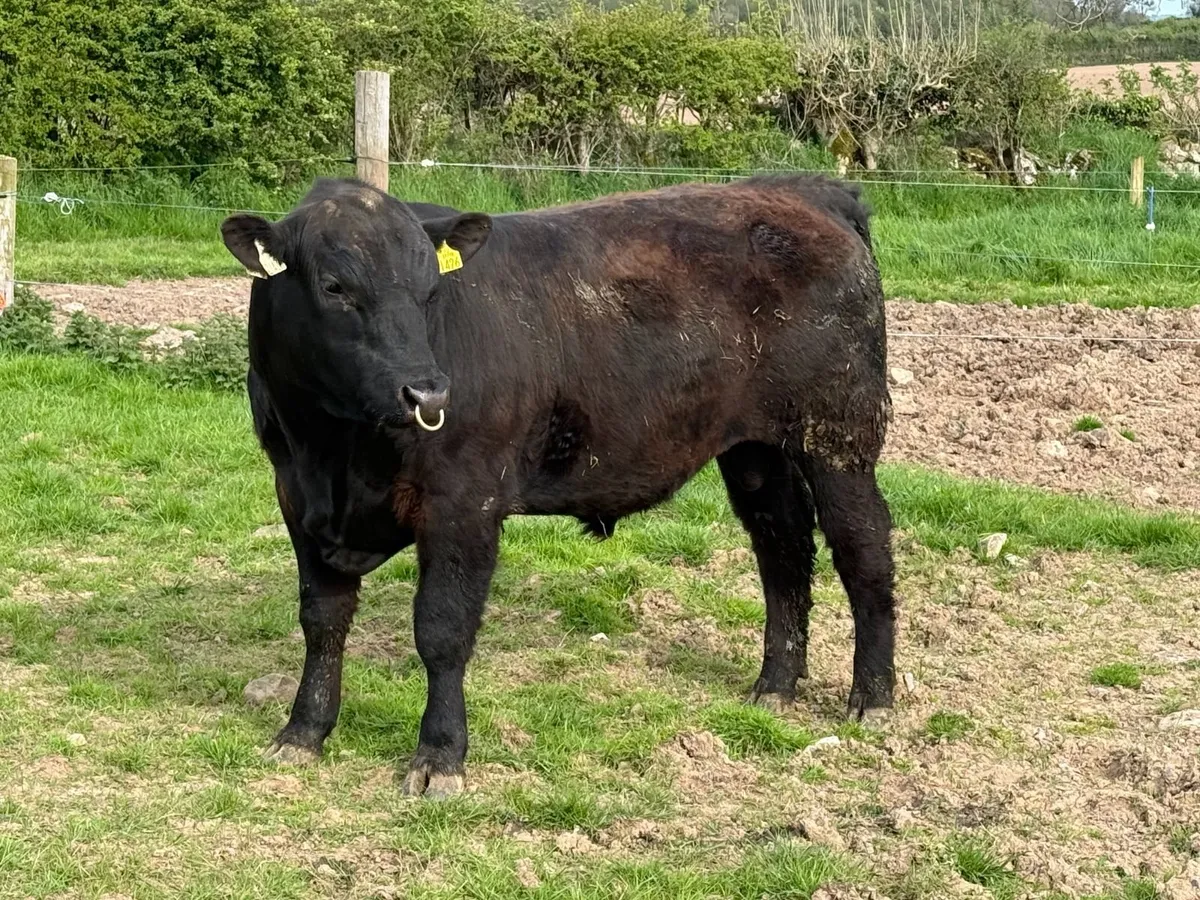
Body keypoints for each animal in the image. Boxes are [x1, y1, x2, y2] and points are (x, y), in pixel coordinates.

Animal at [220, 174, 895, 798]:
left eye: (429, 290)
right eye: (334, 287)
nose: (428, 393)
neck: (334, 453)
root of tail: (802, 187)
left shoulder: (465, 503)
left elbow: (442, 631)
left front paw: (439, 757)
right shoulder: (298, 501)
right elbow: (322, 621)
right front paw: (303, 731)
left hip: (839, 433)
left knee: (863, 551)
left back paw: (873, 697)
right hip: (755, 450)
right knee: (782, 549)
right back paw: (775, 686)